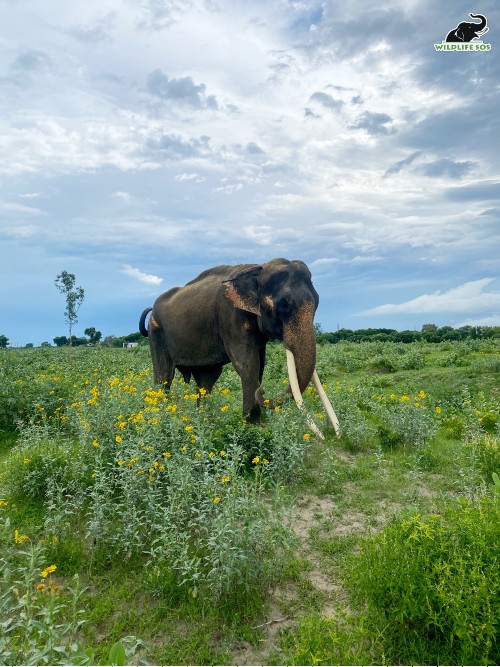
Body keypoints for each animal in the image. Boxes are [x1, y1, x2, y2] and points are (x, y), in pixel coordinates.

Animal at [139, 260, 338, 438]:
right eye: (283, 304)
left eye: (317, 302)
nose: (263, 390)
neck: (257, 269)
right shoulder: (231, 315)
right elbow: (247, 364)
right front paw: (253, 427)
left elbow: (260, 364)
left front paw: (256, 424)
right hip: (156, 333)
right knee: (164, 378)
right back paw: (163, 417)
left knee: (206, 380)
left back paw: (204, 421)